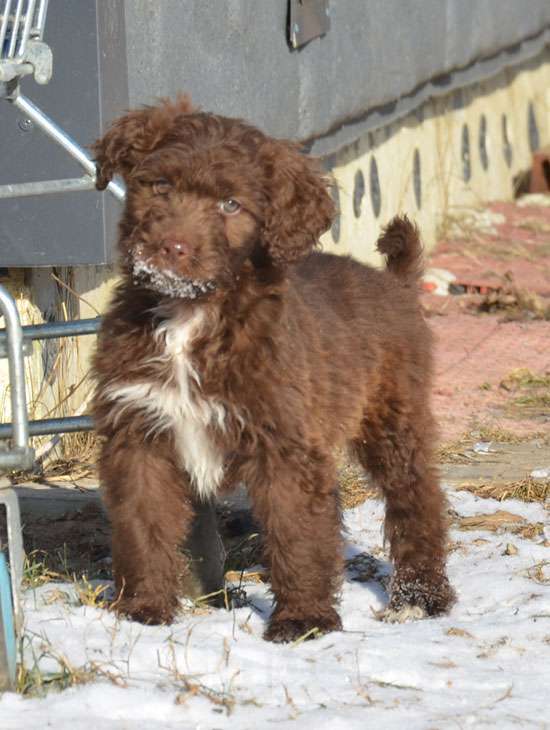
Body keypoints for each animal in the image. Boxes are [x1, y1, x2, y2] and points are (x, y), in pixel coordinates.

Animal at [92, 95, 458, 636]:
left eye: (230, 205)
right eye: (161, 186)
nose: (171, 249)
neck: (191, 316)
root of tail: (395, 281)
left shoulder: (282, 443)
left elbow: (294, 530)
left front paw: (304, 620)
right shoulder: (138, 435)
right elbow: (143, 525)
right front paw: (144, 608)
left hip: (394, 418)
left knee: (417, 500)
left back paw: (418, 597)